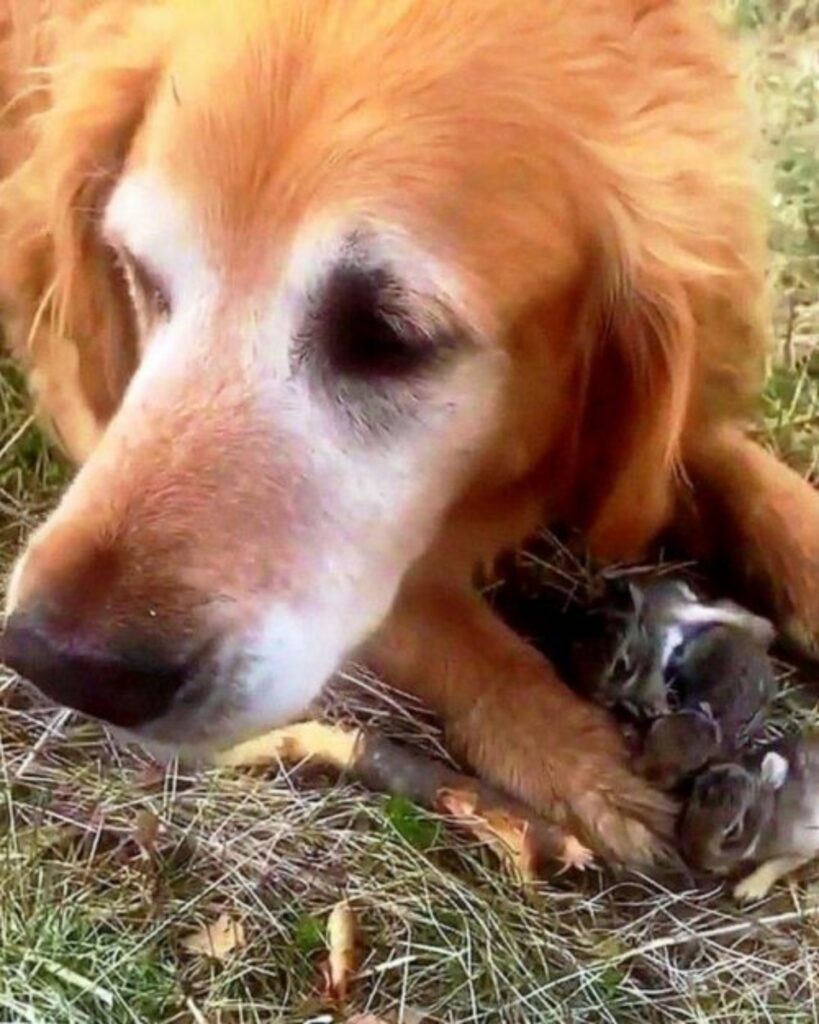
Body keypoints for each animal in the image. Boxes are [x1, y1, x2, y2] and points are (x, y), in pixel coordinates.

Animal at [1, 0, 818, 868]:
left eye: (385, 337)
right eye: (139, 274)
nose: (59, 662)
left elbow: (741, 476)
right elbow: (439, 621)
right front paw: (569, 754)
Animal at [679, 741, 819, 901]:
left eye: (733, 830)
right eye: (690, 807)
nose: (697, 861)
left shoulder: (801, 845)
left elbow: (775, 864)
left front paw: (746, 890)